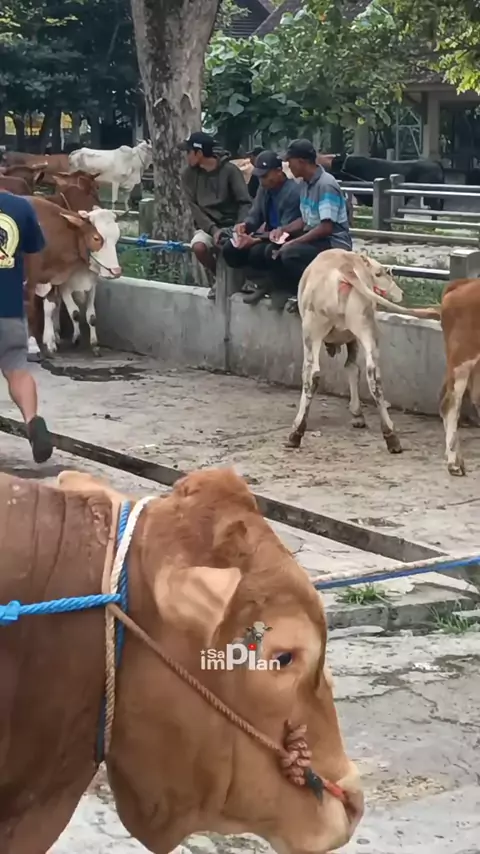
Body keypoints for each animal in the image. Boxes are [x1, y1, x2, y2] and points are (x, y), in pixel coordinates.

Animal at [26, 197, 121, 357]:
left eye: (117, 239)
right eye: (96, 238)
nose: (116, 271)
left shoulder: (58, 281)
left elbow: (89, 316)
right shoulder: (43, 283)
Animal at [287, 248, 440, 454]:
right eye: (381, 273)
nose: (400, 292)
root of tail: (345, 267)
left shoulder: (348, 339)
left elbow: (350, 368)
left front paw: (356, 413)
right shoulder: (354, 336)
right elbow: (353, 368)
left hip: (313, 330)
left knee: (311, 375)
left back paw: (296, 432)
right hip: (366, 326)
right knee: (374, 377)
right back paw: (391, 437)